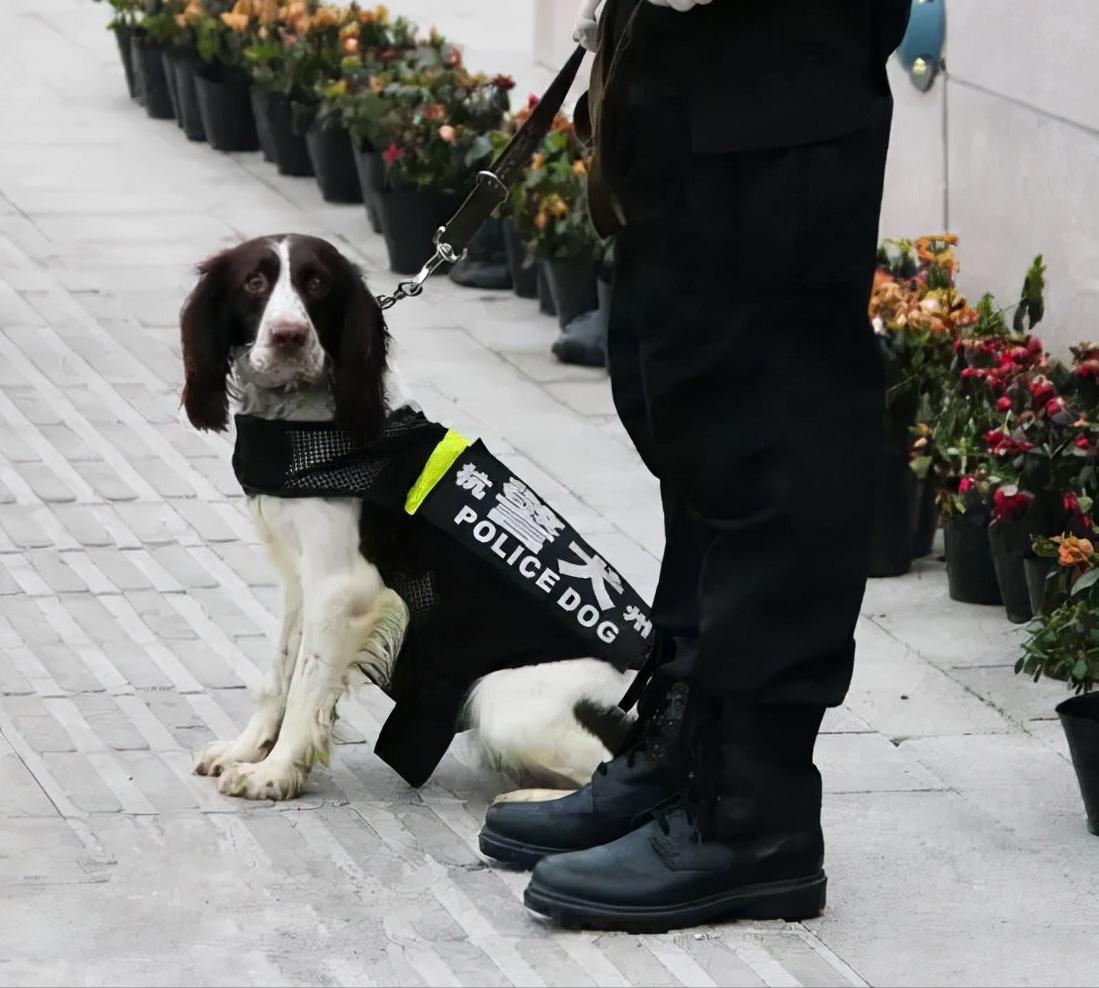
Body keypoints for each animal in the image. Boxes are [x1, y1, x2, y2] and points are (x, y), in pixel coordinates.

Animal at [181, 235, 637, 800]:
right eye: (255, 282)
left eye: (317, 283)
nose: (289, 336)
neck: (307, 426)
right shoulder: (301, 579)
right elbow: (280, 671)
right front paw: (246, 751)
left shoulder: (342, 589)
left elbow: (308, 685)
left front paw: (274, 773)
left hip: (500, 698)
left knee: (609, 772)